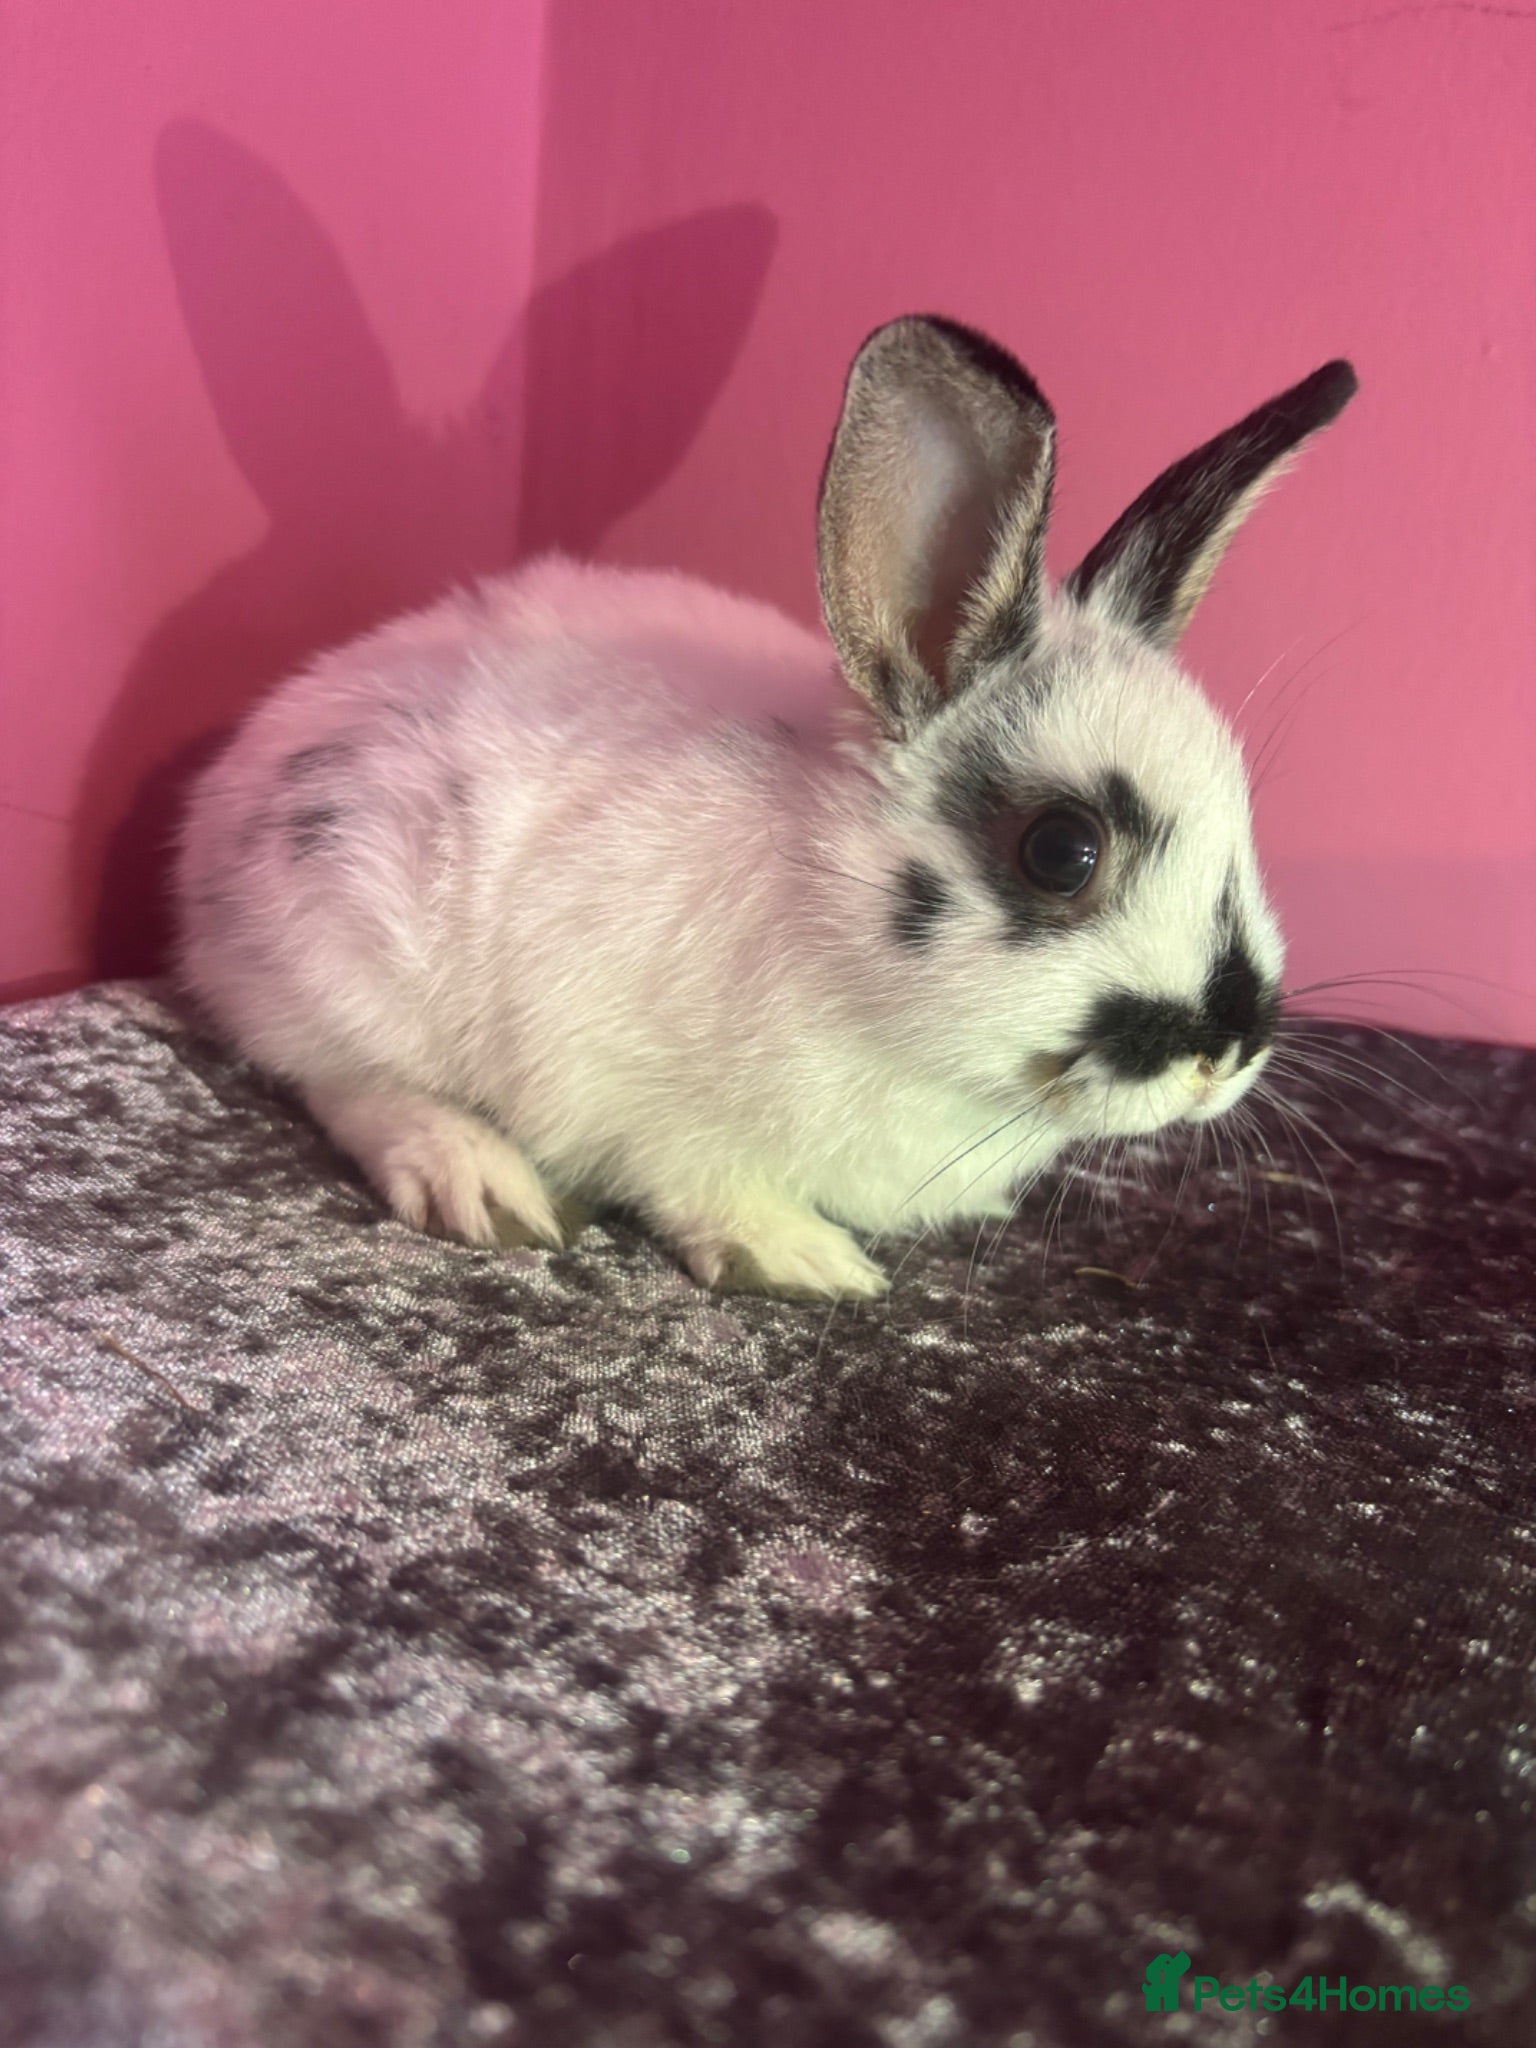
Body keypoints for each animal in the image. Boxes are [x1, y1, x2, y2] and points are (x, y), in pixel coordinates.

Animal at [175, 315, 1356, 1300]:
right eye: (1063, 849)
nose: (1228, 1052)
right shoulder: (630, 1095)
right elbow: (697, 1179)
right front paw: (798, 1258)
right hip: (341, 950)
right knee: (334, 1074)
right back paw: (479, 1179)